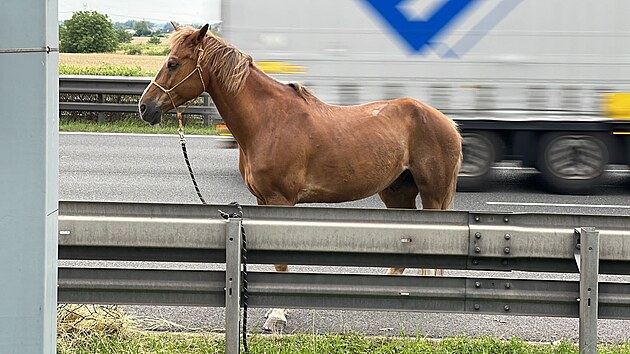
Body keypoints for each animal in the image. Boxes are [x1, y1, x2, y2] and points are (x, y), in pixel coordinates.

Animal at [139, 23, 464, 334]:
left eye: (173, 63)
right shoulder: (262, 200)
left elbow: (281, 260)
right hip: (397, 192)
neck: (269, 120)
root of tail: (447, 121)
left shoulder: (280, 200)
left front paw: (278, 316)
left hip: (432, 195)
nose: (145, 107)